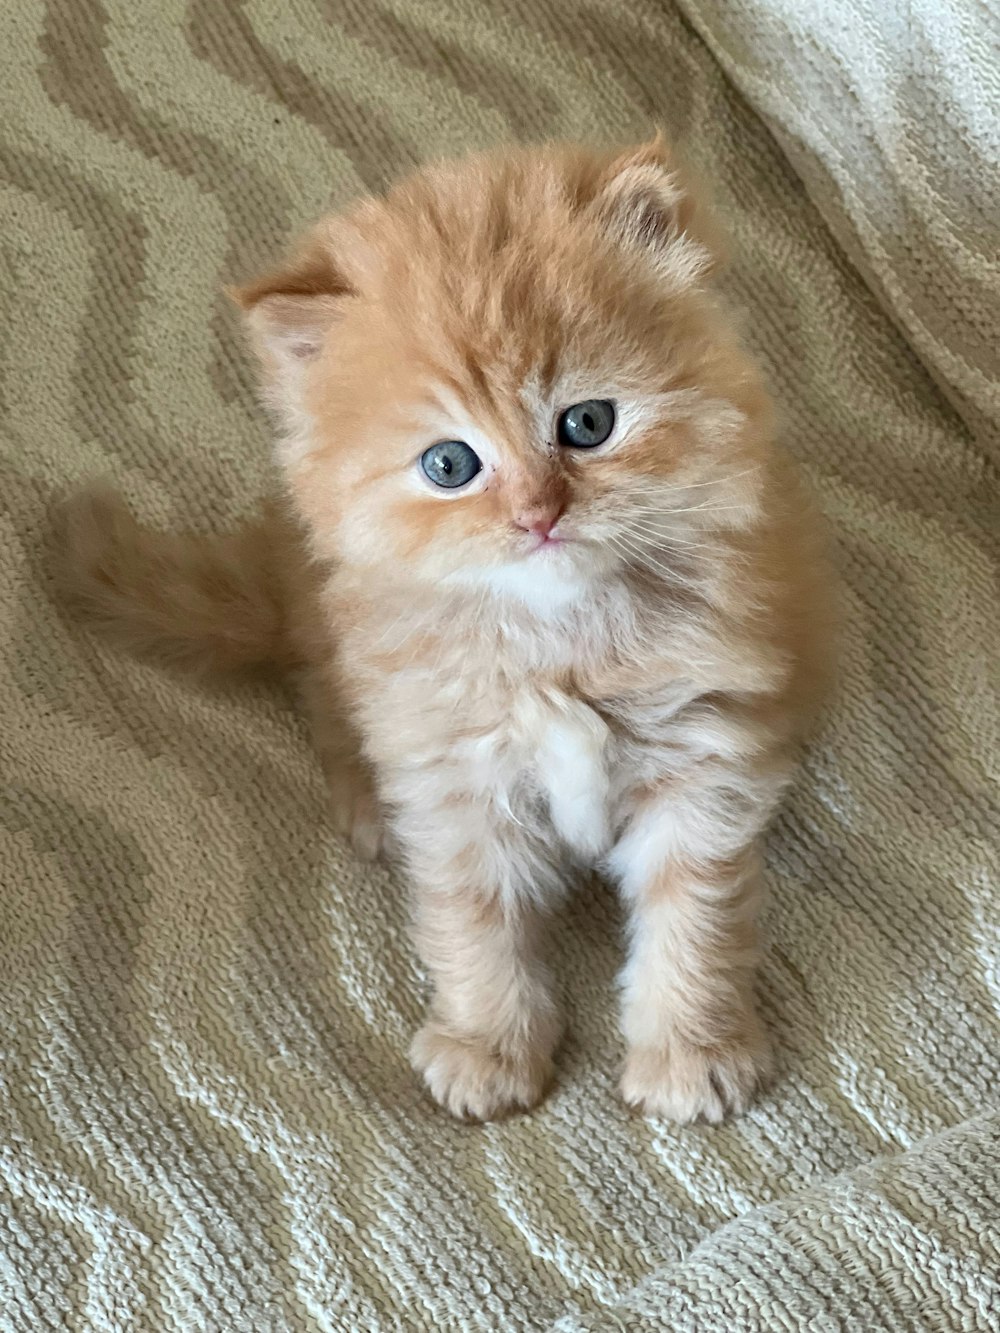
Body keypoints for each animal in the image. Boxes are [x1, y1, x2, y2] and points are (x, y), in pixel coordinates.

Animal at [58, 135, 832, 1119]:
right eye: (450, 465)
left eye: (588, 422)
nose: (538, 515)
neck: (554, 640)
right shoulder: (456, 780)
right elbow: (474, 925)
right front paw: (488, 1046)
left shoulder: (704, 763)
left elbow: (695, 920)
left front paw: (689, 1052)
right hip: (333, 637)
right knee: (323, 698)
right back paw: (369, 805)